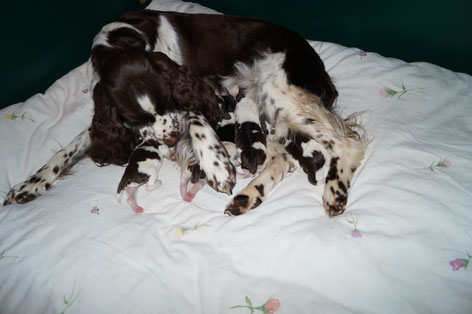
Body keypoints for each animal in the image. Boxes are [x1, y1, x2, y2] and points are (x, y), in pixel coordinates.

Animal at [2, 9, 368, 216]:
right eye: (134, 119)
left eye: (169, 101)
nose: (171, 138)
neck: (120, 41)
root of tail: (317, 63)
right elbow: (73, 145)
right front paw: (32, 183)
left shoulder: (194, 93)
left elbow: (196, 121)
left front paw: (215, 165)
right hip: (268, 110)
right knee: (280, 160)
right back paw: (247, 197)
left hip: (281, 93)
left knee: (348, 144)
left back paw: (334, 193)